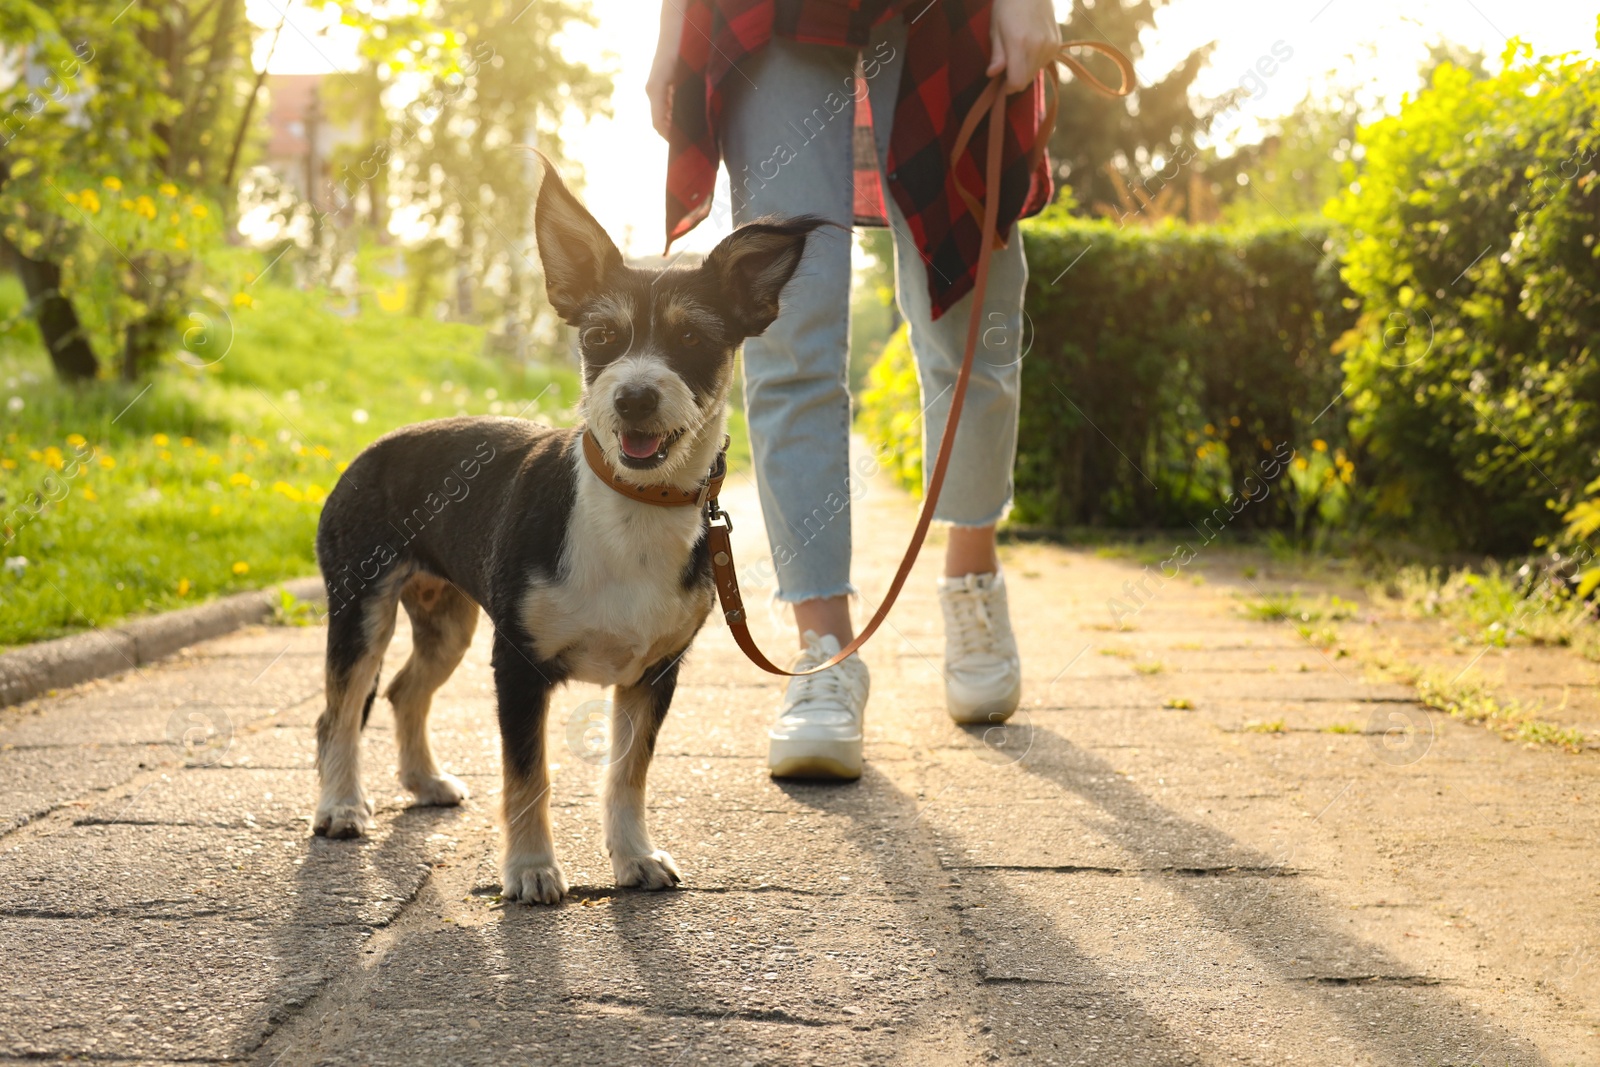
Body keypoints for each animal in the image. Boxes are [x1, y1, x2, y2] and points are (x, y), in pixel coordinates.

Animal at [310, 163, 819, 908]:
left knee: (405, 690)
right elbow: (529, 777)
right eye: (601, 336)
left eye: (694, 340)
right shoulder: (517, 665)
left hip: (449, 620)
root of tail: (370, 449)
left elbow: (627, 773)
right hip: (361, 607)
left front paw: (634, 856)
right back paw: (341, 806)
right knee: (340, 711)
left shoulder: (654, 674)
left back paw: (425, 782)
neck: (632, 507)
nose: (634, 396)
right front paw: (529, 869)